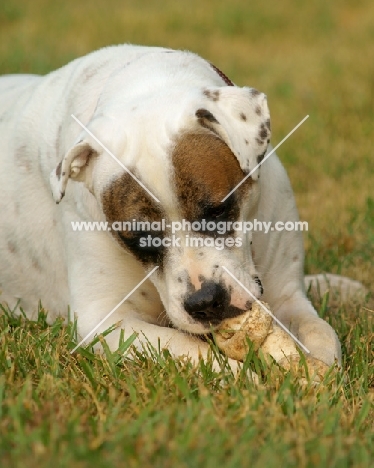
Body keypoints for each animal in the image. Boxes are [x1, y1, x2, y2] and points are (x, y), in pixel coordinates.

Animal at [0, 45, 344, 372]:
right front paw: (242, 377)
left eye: (218, 211)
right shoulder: (104, 321)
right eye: (140, 238)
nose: (206, 301)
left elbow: (322, 334)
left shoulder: (288, 297)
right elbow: (189, 348)